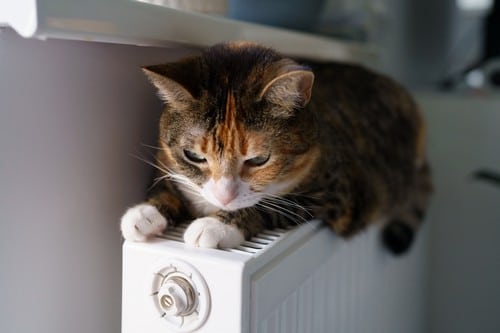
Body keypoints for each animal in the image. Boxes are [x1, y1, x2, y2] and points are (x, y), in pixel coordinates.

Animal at [121, 41, 434, 254]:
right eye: (194, 156)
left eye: (259, 160)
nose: (224, 197)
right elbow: (169, 185)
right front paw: (144, 214)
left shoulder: (334, 193)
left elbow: (271, 207)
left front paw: (216, 225)